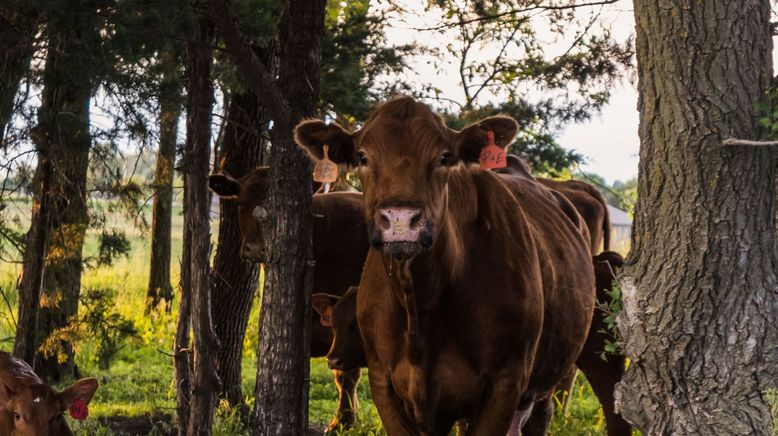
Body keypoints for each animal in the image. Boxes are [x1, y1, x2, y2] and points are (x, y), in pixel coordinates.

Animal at [292, 96, 596, 436]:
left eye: (444, 157)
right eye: (361, 156)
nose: (400, 220)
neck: (420, 310)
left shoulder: (505, 383)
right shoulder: (385, 383)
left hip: (545, 380)